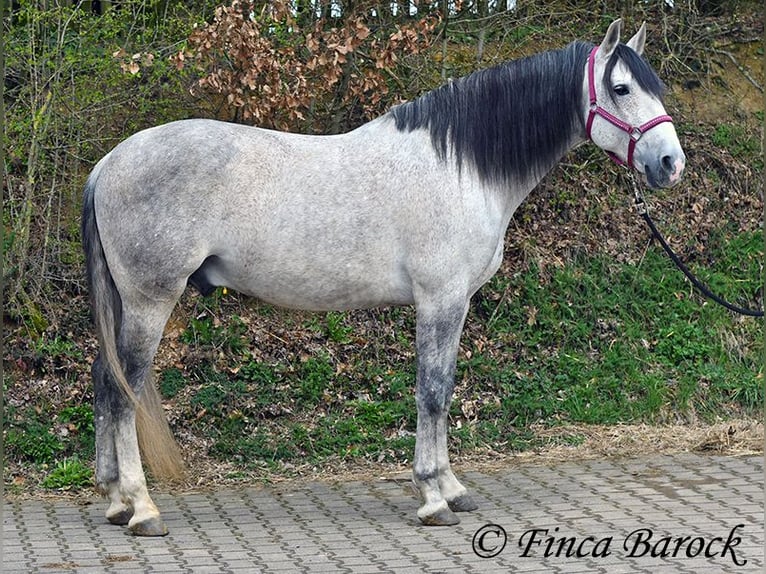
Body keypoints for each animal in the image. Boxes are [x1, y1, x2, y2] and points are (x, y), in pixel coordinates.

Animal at [82, 19, 685, 536]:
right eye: (623, 88)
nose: (670, 164)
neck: (460, 166)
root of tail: (107, 164)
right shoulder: (440, 300)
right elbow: (433, 391)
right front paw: (433, 498)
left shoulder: (455, 303)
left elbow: (443, 389)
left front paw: (452, 487)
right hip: (149, 301)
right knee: (125, 387)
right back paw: (141, 508)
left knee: (104, 379)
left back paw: (114, 500)